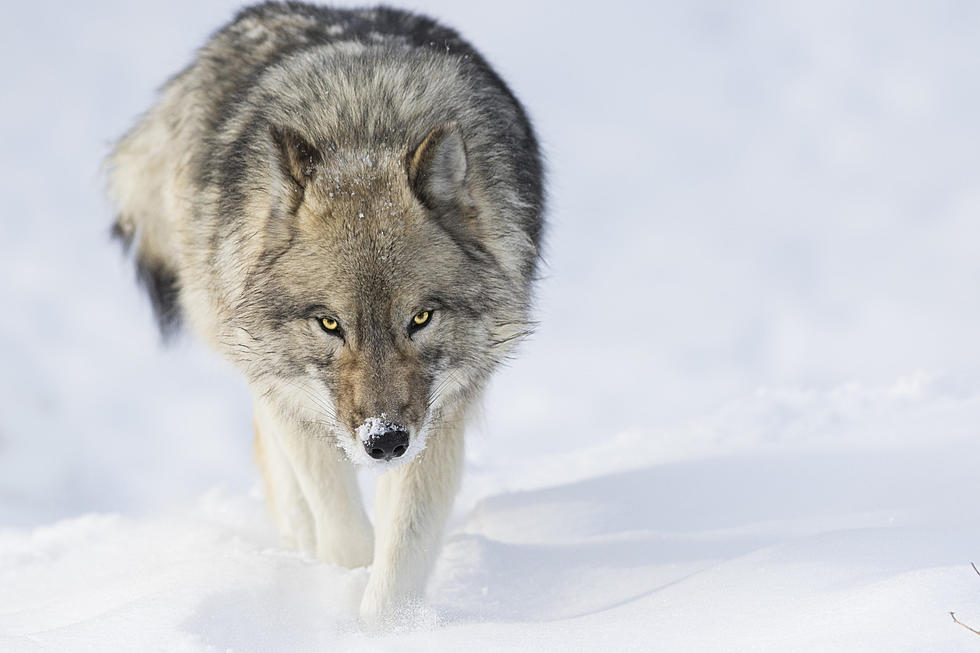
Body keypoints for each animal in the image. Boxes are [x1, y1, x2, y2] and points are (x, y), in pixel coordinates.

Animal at [104, 0, 548, 620]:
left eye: (420, 319)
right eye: (330, 324)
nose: (385, 442)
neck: (363, 131)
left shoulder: (443, 414)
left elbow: (401, 552)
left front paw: (390, 625)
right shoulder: (296, 399)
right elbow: (344, 534)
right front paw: (340, 578)